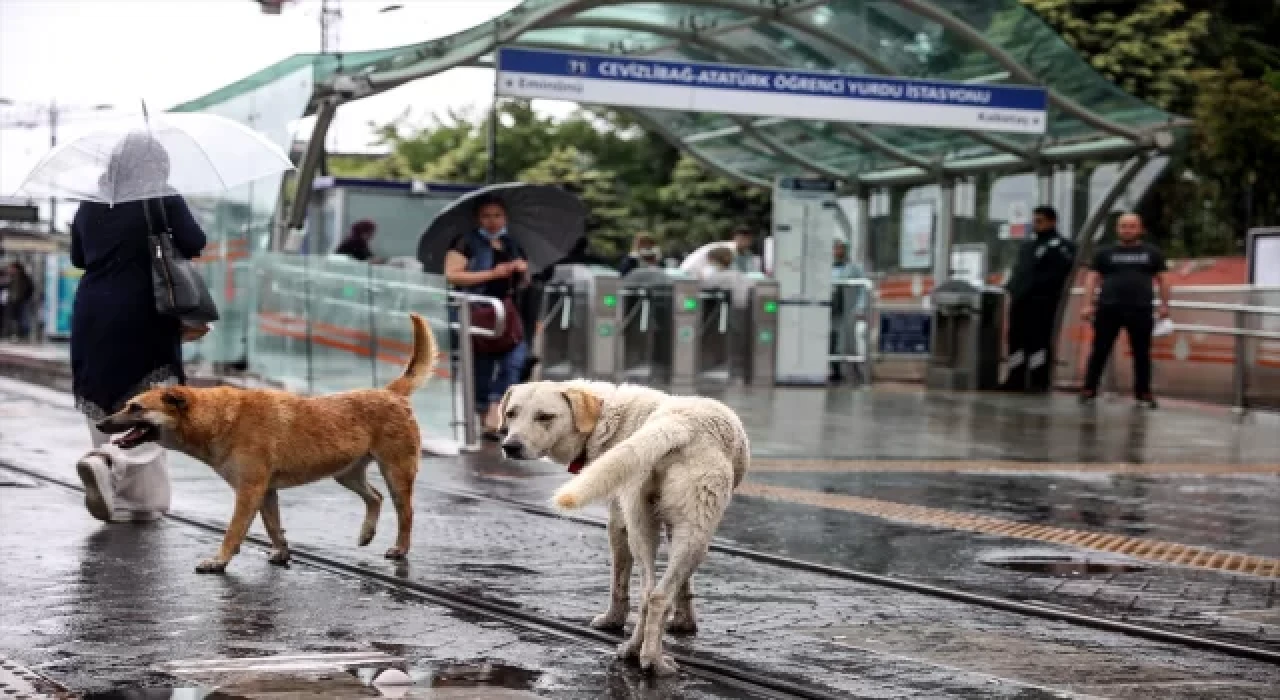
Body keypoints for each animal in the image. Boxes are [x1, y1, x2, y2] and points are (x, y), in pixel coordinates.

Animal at [97, 314, 437, 573]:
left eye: (135, 408)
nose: (101, 424)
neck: (218, 418)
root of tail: (390, 393)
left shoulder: (249, 491)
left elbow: (234, 531)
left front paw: (219, 561)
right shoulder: (266, 492)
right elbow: (273, 527)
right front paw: (282, 552)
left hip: (396, 472)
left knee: (405, 512)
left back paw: (400, 548)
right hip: (346, 473)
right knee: (375, 498)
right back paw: (367, 534)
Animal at [494, 381, 747, 675]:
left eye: (544, 416)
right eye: (511, 413)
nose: (510, 446)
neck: (605, 418)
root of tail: (679, 423)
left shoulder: (628, 522)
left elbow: (633, 583)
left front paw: (675, 622)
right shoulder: (628, 520)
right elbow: (636, 584)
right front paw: (668, 623)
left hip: (651, 524)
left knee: (649, 594)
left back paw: (637, 653)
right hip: (686, 533)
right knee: (656, 595)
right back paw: (651, 659)